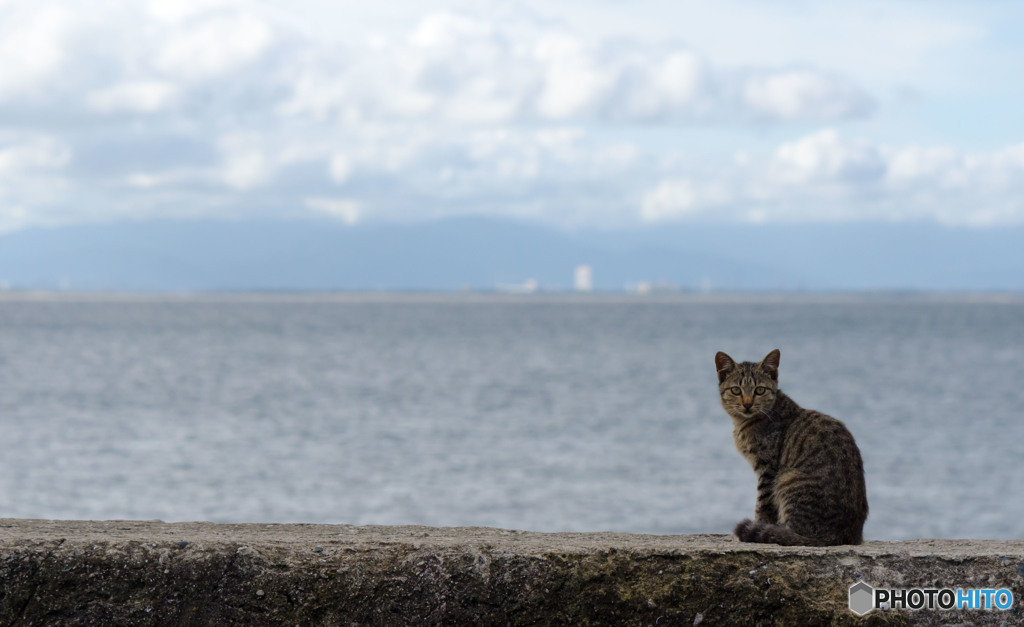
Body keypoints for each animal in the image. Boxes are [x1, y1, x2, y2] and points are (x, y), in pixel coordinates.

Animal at [716, 350, 868, 545]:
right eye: (736, 390)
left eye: (760, 390)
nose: (747, 404)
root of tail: (842, 536)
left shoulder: (767, 469)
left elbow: (762, 505)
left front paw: (758, 524)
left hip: (787, 477)